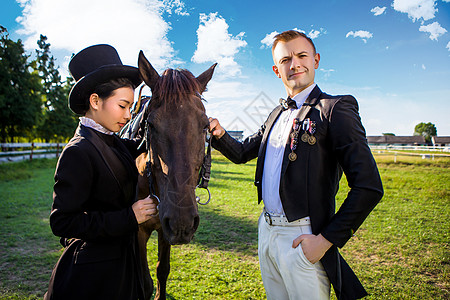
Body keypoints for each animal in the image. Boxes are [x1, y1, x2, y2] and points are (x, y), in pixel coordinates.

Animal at [135, 50, 216, 298]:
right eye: (151, 125)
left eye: (205, 126)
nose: (183, 222)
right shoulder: (138, 230)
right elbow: (144, 282)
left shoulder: (165, 229)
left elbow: (163, 270)